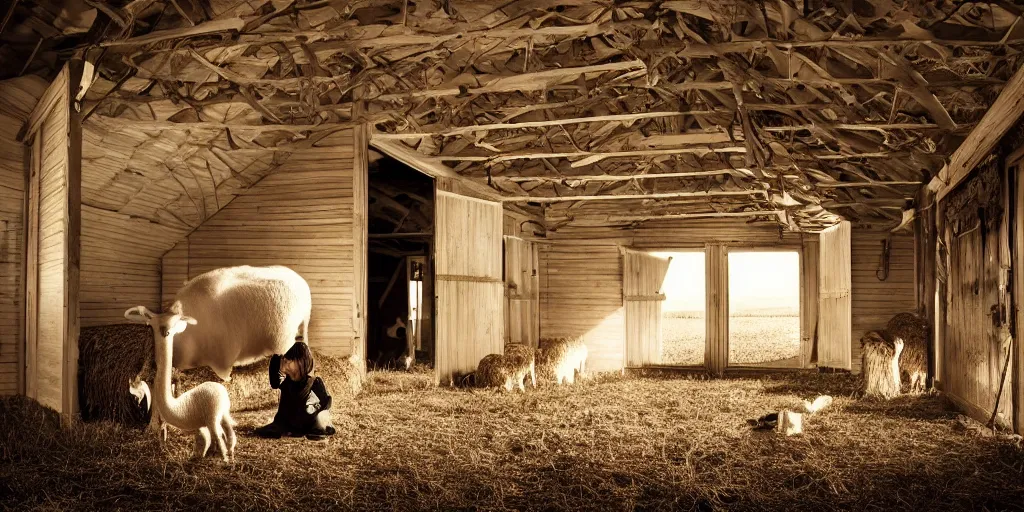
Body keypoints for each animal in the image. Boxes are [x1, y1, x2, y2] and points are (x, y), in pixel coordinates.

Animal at [124, 301, 236, 462]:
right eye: (152, 322)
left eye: (176, 321)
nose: (165, 331)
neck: (174, 403)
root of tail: (220, 389)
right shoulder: (201, 425)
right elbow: (204, 440)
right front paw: (198, 455)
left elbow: (207, 439)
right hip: (222, 413)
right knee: (228, 433)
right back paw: (228, 454)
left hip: (213, 416)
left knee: (220, 436)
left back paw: (224, 458)